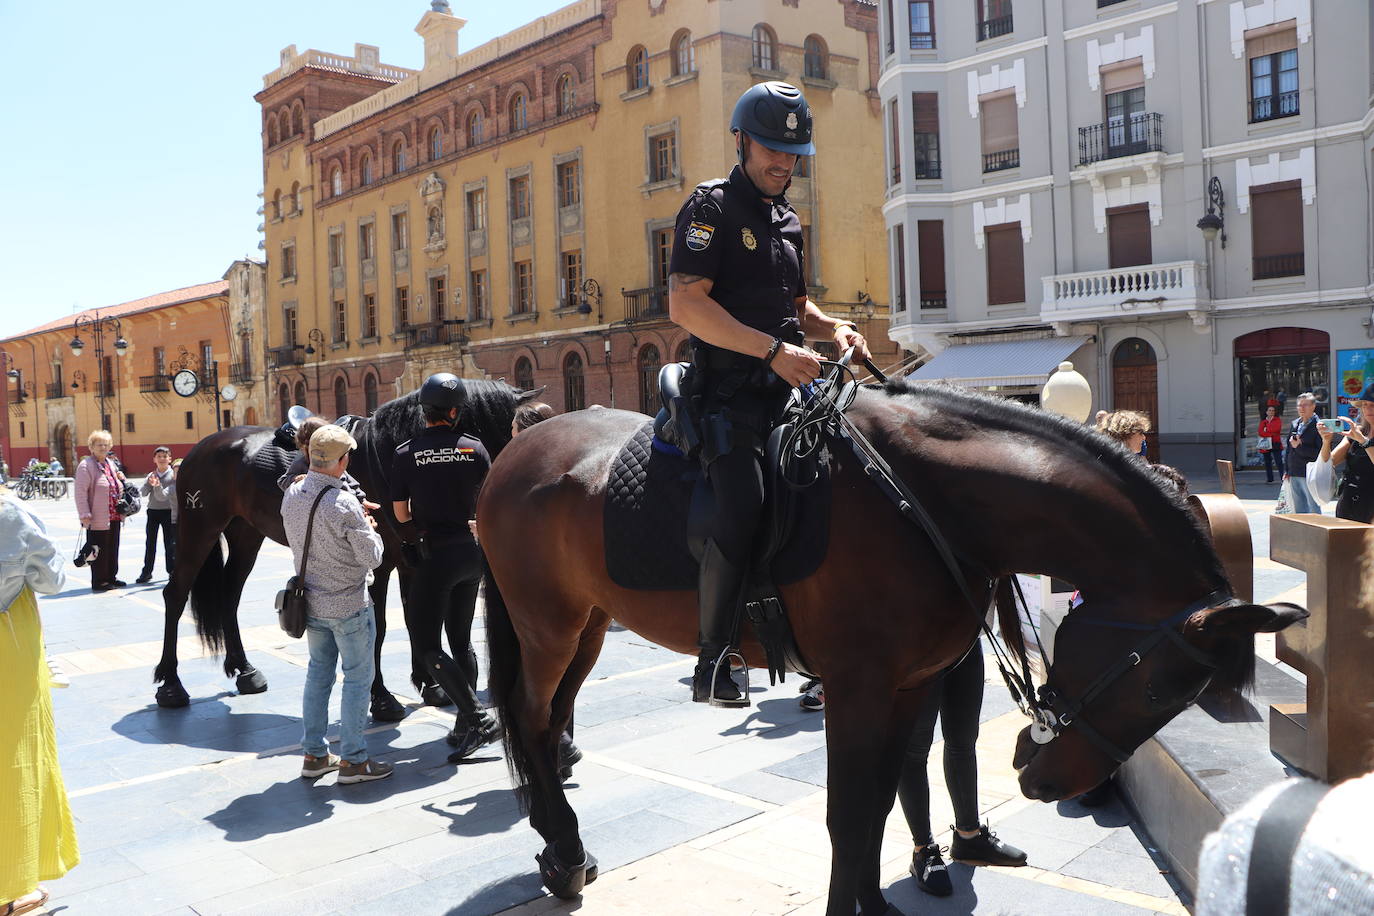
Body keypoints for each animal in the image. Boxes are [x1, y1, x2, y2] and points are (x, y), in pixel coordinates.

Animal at [478, 379, 1302, 916]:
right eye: (1159, 689)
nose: (1051, 783)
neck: (924, 500)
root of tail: (517, 449)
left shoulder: (909, 683)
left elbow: (877, 803)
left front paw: (875, 902)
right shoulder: (856, 686)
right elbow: (848, 814)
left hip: (587, 623)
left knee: (551, 720)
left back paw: (561, 849)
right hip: (546, 624)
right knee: (529, 718)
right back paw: (562, 851)